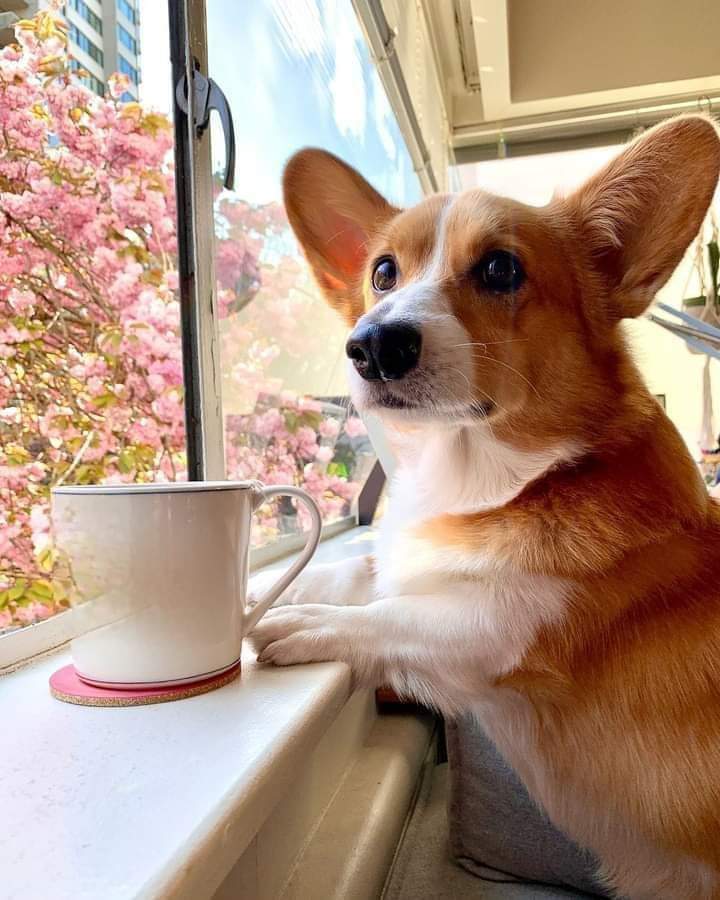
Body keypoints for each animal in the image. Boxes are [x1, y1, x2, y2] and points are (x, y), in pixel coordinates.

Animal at [249, 118, 720, 900]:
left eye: (500, 269)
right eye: (383, 273)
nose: (371, 344)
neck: (483, 480)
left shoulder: (501, 630)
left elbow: (392, 617)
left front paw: (308, 623)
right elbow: (360, 572)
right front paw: (259, 589)